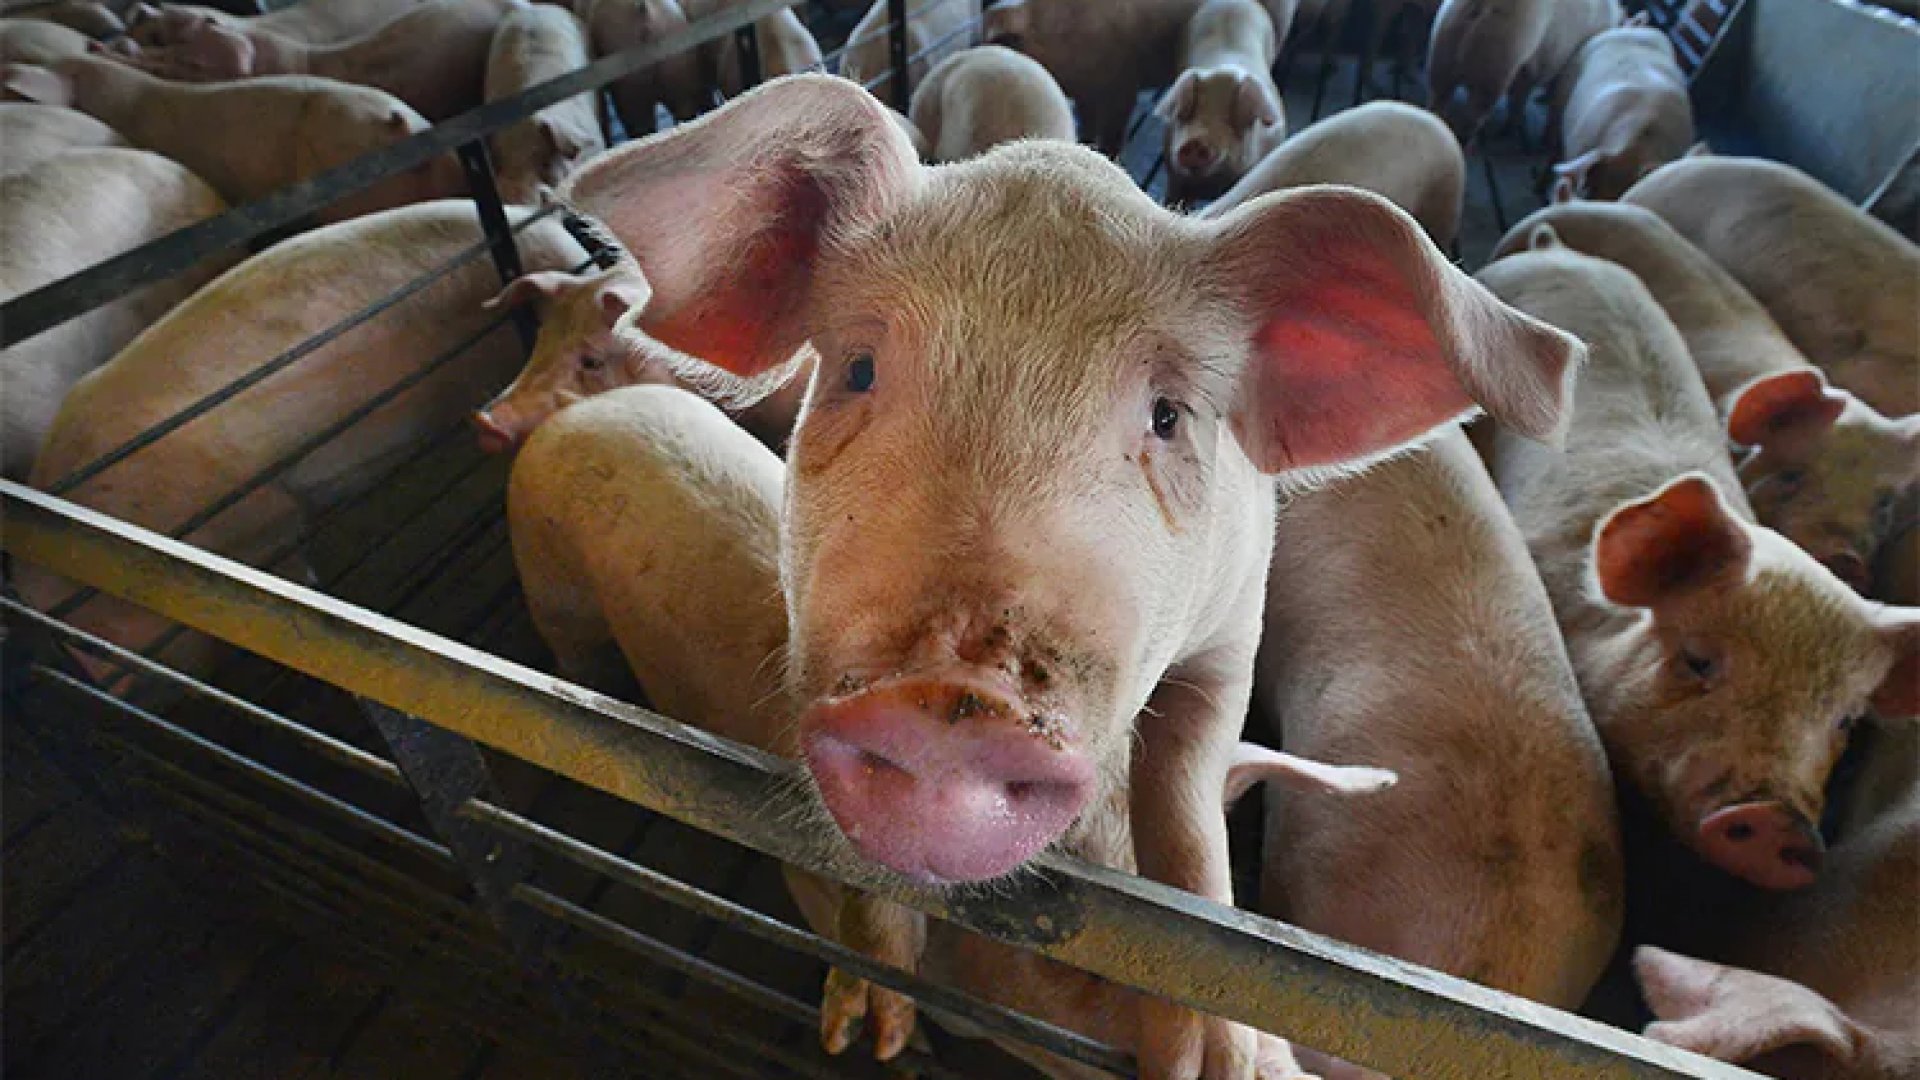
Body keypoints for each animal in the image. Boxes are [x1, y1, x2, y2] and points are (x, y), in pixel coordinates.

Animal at [1426, 0, 1620, 145]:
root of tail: (1483, 6)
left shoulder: (1527, 71)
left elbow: (1518, 97)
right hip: (1497, 63)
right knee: (1473, 116)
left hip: (1443, 48)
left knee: (1438, 100)